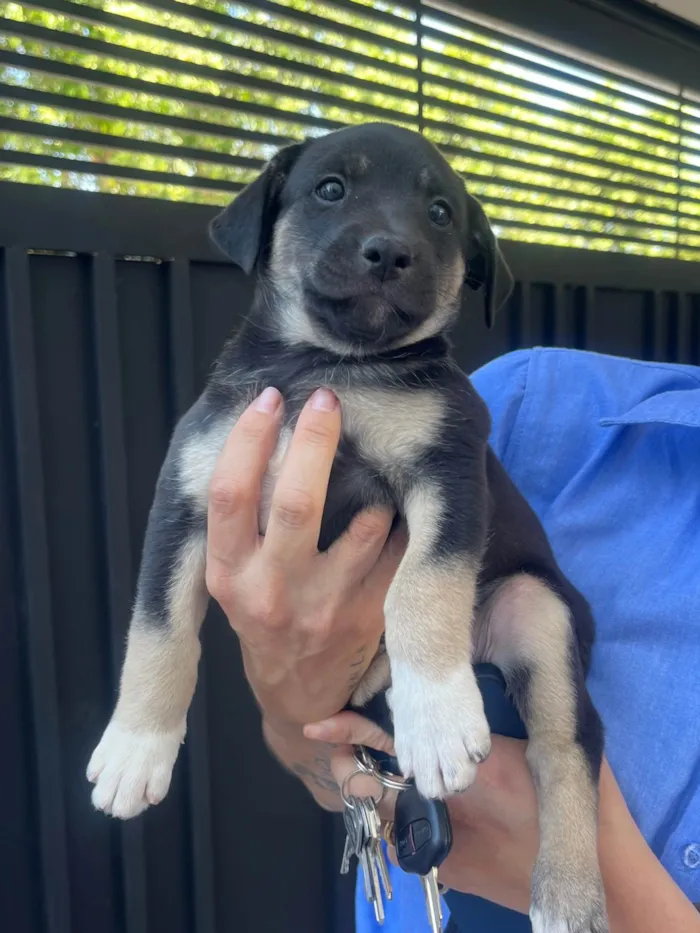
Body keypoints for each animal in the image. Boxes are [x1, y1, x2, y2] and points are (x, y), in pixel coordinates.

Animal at [89, 124, 608, 932]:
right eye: (330, 189)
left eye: (439, 212)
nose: (389, 251)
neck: (327, 366)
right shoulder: (184, 500)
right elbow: (157, 632)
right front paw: (134, 746)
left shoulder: (448, 471)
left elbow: (422, 589)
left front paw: (438, 712)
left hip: (538, 606)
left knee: (566, 749)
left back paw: (568, 891)